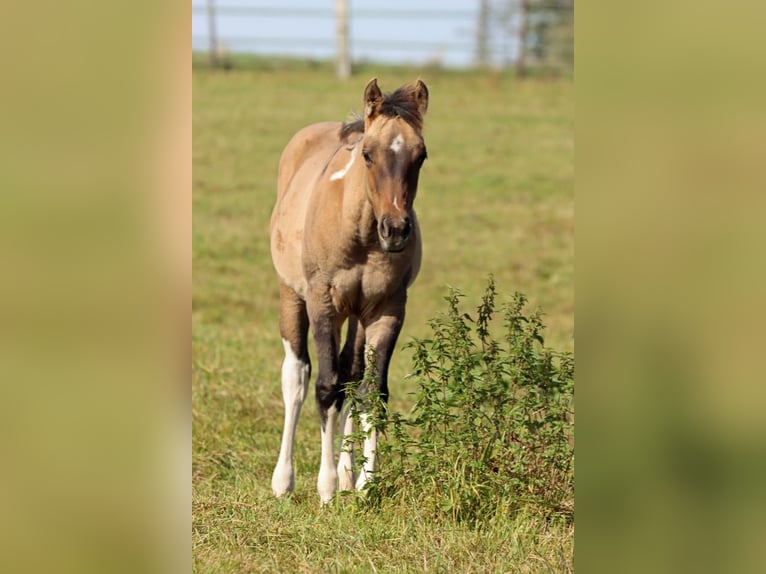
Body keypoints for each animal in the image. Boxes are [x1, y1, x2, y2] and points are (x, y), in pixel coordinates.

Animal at [269, 78, 429, 503]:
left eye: (421, 156)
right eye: (368, 155)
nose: (396, 230)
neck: (362, 236)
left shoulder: (386, 309)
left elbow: (372, 389)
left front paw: (365, 483)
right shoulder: (324, 303)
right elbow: (326, 387)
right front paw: (325, 490)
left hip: (357, 314)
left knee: (352, 374)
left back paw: (346, 473)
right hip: (293, 294)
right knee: (297, 376)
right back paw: (283, 481)